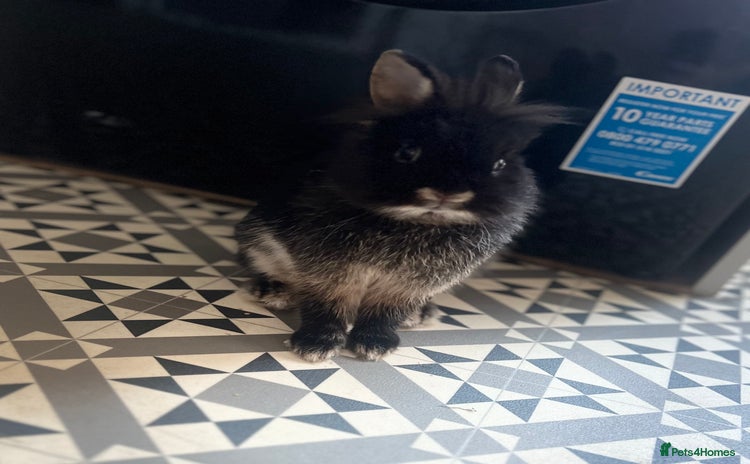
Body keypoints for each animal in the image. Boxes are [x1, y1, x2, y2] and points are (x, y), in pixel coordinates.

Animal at [235, 50, 564, 362]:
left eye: (499, 164)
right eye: (407, 152)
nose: (448, 194)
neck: (422, 222)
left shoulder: (408, 286)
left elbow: (386, 312)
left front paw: (374, 345)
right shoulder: (330, 272)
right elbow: (327, 304)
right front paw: (315, 346)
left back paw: (421, 315)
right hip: (258, 241)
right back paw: (273, 293)